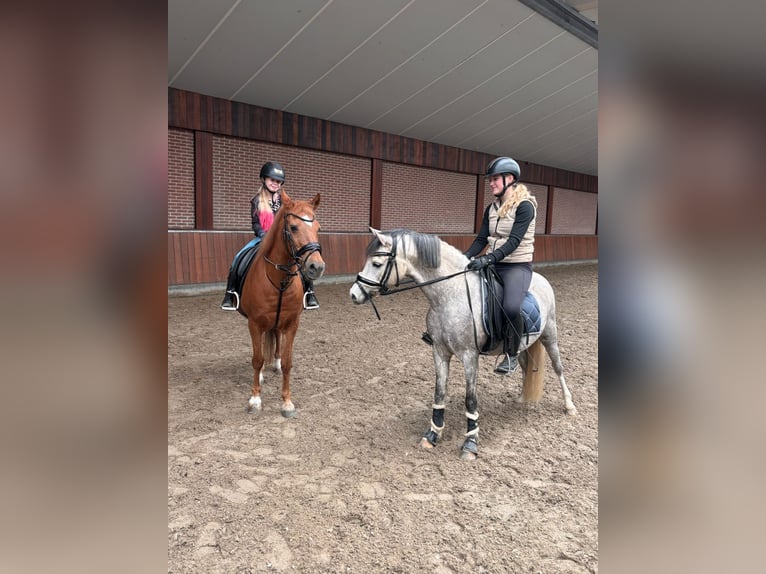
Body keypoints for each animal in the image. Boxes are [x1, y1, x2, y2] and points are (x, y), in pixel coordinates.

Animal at [238, 190, 324, 418]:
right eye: (293, 227)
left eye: (318, 228)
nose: (317, 267)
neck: (279, 281)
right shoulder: (254, 323)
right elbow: (257, 359)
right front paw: (255, 399)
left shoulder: (292, 323)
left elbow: (287, 362)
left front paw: (287, 402)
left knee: (276, 337)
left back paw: (274, 363)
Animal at [349, 228, 576, 460]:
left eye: (377, 264)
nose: (354, 294)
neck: (449, 295)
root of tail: (541, 278)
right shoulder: (439, 352)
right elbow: (439, 392)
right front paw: (433, 434)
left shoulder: (469, 356)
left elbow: (470, 400)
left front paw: (470, 443)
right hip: (525, 344)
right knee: (523, 366)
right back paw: (522, 397)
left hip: (550, 334)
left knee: (558, 367)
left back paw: (569, 406)